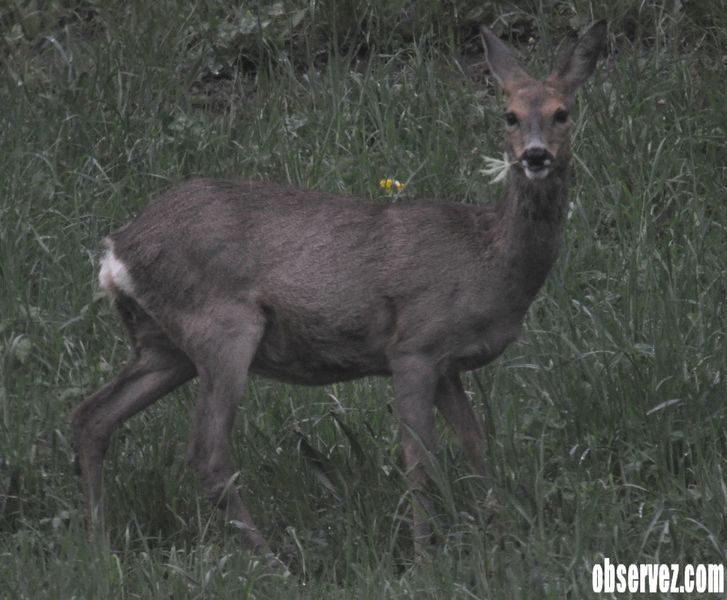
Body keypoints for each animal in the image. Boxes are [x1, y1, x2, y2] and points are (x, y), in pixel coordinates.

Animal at [72, 22, 608, 556]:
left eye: (561, 113)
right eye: (509, 115)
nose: (535, 156)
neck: (488, 260)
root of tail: (116, 250)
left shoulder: (449, 364)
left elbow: (475, 445)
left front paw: (502, 530)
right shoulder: (414, 345)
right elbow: (420, 458)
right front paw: (424, 553)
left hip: (164, 344)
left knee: (93, 414)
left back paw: (98, 541)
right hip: (222, 326)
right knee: (207, 453)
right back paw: (272, 560)